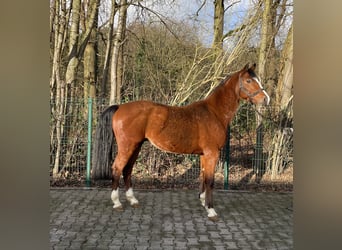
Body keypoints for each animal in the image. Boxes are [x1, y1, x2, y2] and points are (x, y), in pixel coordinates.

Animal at [92, 62, 268, 221]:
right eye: (249, 81)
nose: (266, 99)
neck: (214, 113)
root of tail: (120, 107)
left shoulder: (204, 155)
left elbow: (203, 177)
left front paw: (203, 202)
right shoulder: (212, 153)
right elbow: (210, 181)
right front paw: (211, 210)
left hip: (136, 146)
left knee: (127, 170)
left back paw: (133, 200)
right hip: (127, 146)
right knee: (117, 168)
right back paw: (117, 203)